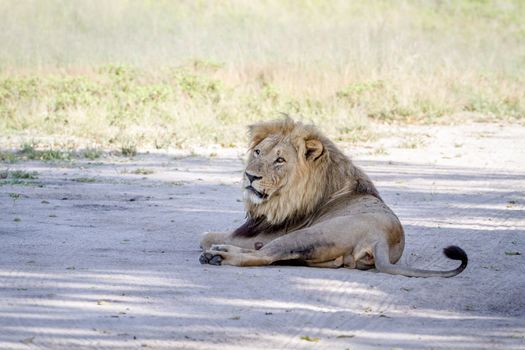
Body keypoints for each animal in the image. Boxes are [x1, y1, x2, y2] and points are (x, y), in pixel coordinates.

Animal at [200, 119, 466, 278]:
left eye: (280, 160)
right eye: (257, 152)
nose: (250, 176)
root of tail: (382, 239)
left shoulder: (268, 233)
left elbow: (205, 236)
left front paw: (215, 244)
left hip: (305, 235)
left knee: (263, 256)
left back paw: (218, 256)